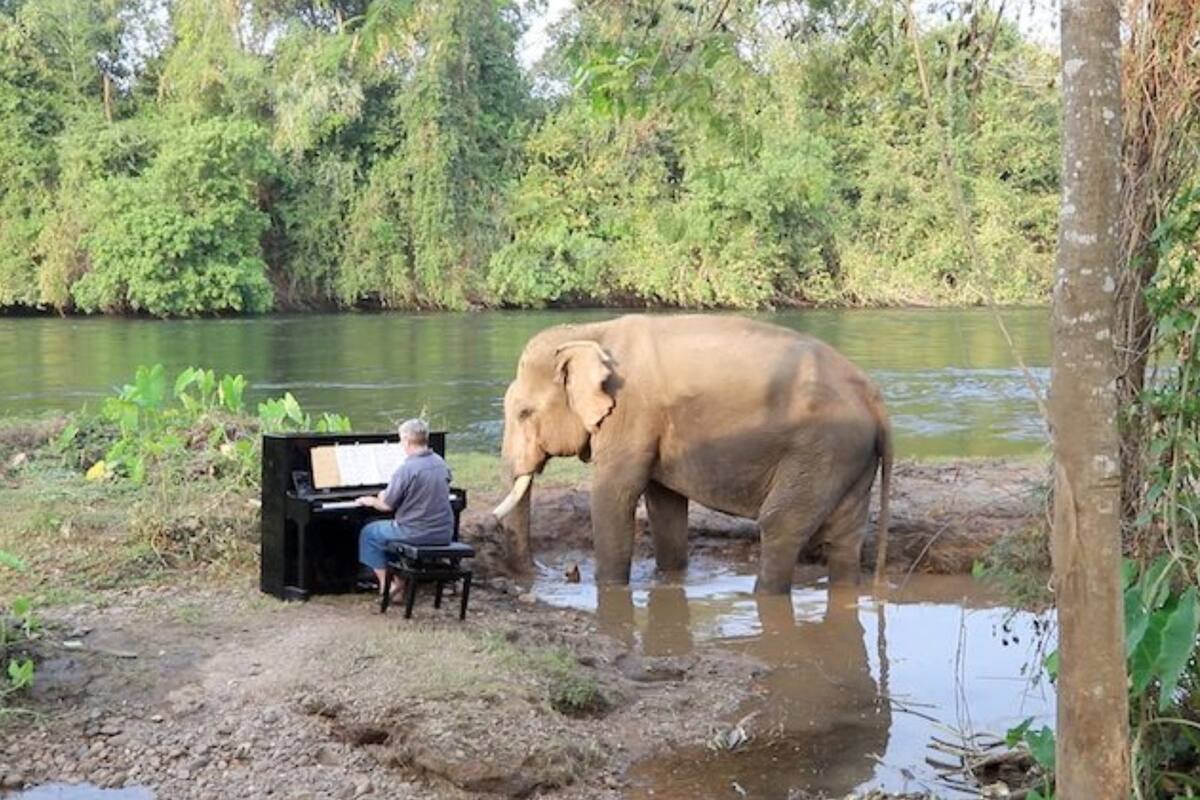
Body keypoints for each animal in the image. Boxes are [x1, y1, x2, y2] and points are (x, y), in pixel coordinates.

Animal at [492, 314, 893, 593]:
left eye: (524, 413)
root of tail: (873, 397)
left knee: (780, 524)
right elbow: (664, 502)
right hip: (849, 457)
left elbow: (614, 493)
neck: (591, 333)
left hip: (821, 448)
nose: (561, 573)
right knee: (845, 536)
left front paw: (607, 587)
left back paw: (763, 594)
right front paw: (669, 577)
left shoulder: (631, 413)